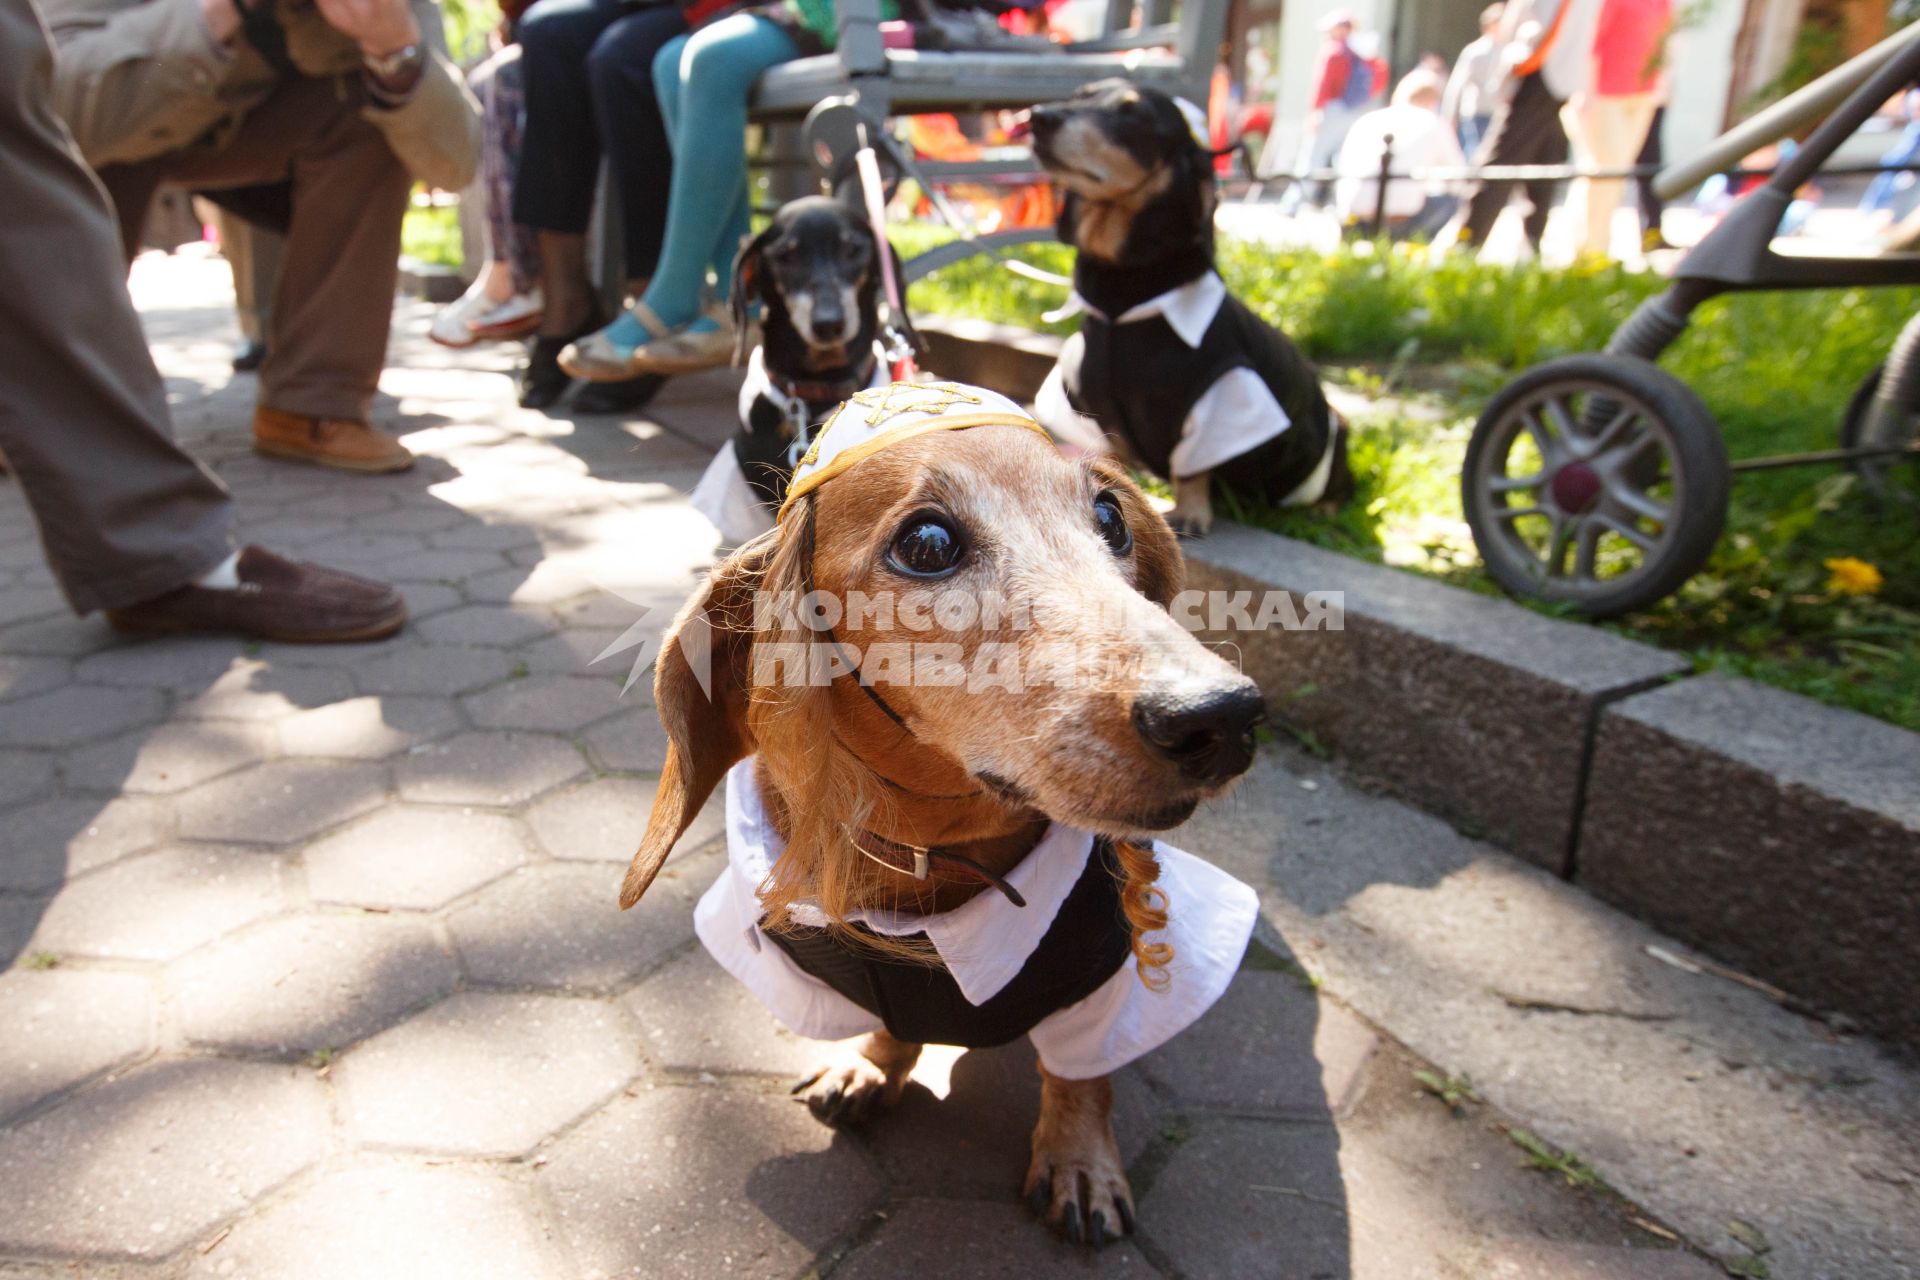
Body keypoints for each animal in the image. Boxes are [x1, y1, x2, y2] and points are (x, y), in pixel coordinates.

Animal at [622, 385, 1267, 1243]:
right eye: (927, 544)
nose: (1223, 715)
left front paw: (1079, 1159)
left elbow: (1080, 1072)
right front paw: (871, 1062)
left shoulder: (1106, 974)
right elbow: (893, 1020)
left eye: (1111, 518)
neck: (933, 853)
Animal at [1029, 76, 1359, 537]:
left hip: (1335, 436)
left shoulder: (1226, 393)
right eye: (1080, 96)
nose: (1039, 117)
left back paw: (1324, 510)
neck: (1123, 307)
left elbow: (1194, 467)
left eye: (1134, 114)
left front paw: (1189, 510)